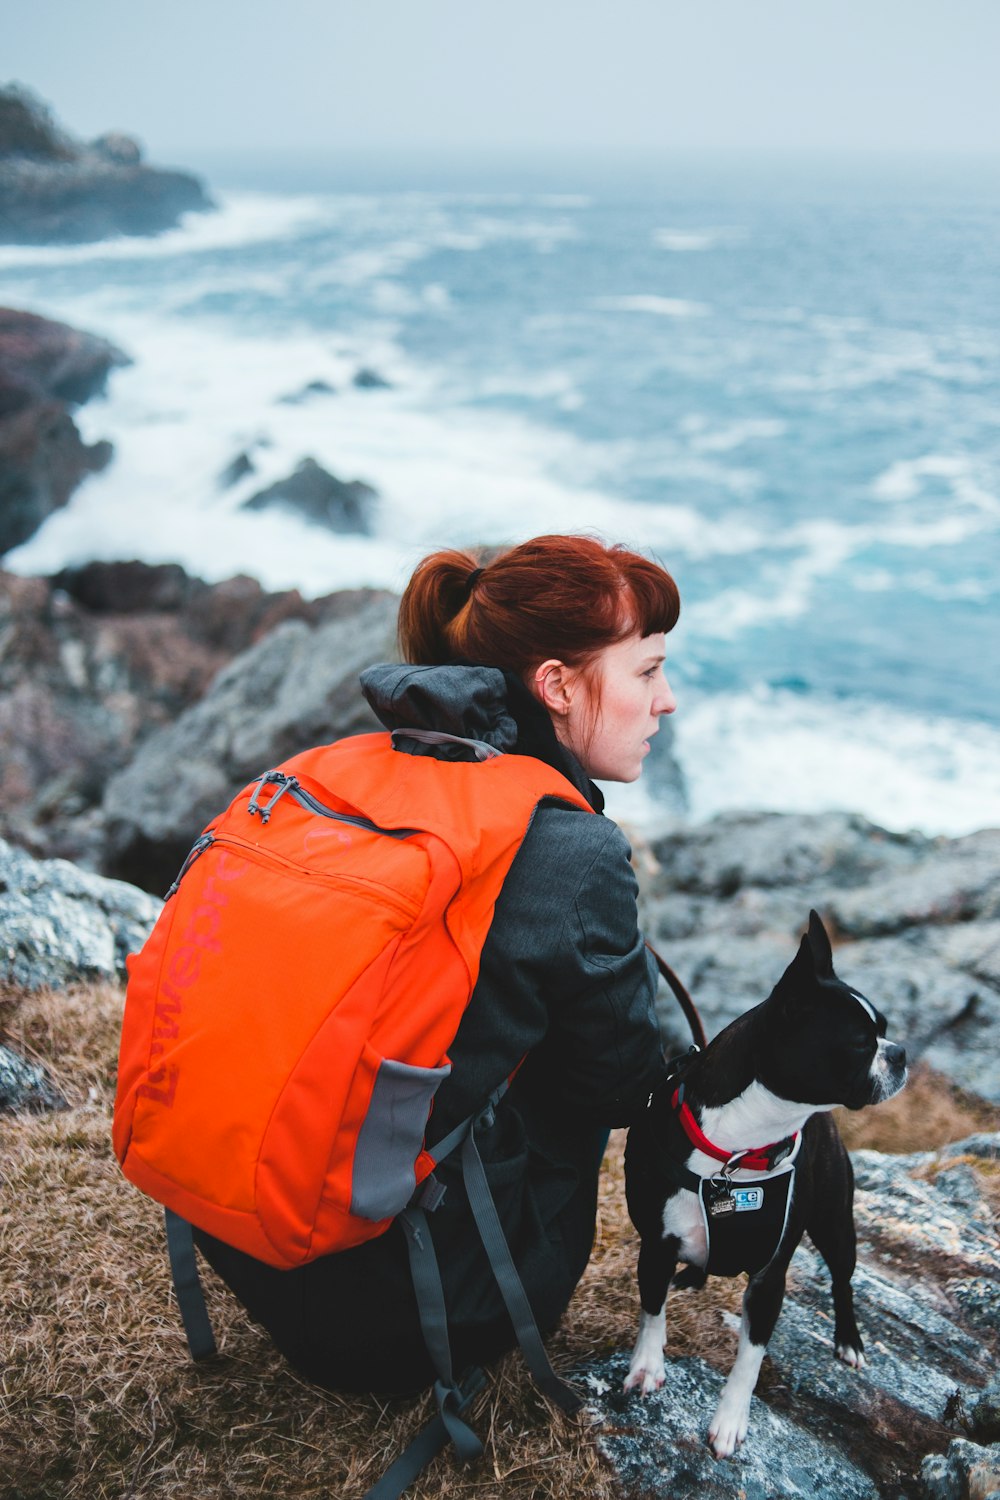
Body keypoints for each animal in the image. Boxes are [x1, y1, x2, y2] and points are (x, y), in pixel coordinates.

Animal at [626, 906, 905, 1458]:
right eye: (861, 1043)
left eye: (884, 1031)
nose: (901, 1052)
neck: (738, 1153)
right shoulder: (656, 1245)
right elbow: (651, 1310)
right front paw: (647, 1366)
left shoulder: (770, 1278)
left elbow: (750, 1358)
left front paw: (730, 1422)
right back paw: (691, 1277)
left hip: (836, 1225)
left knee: (843, 1280)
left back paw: (849, 1341)